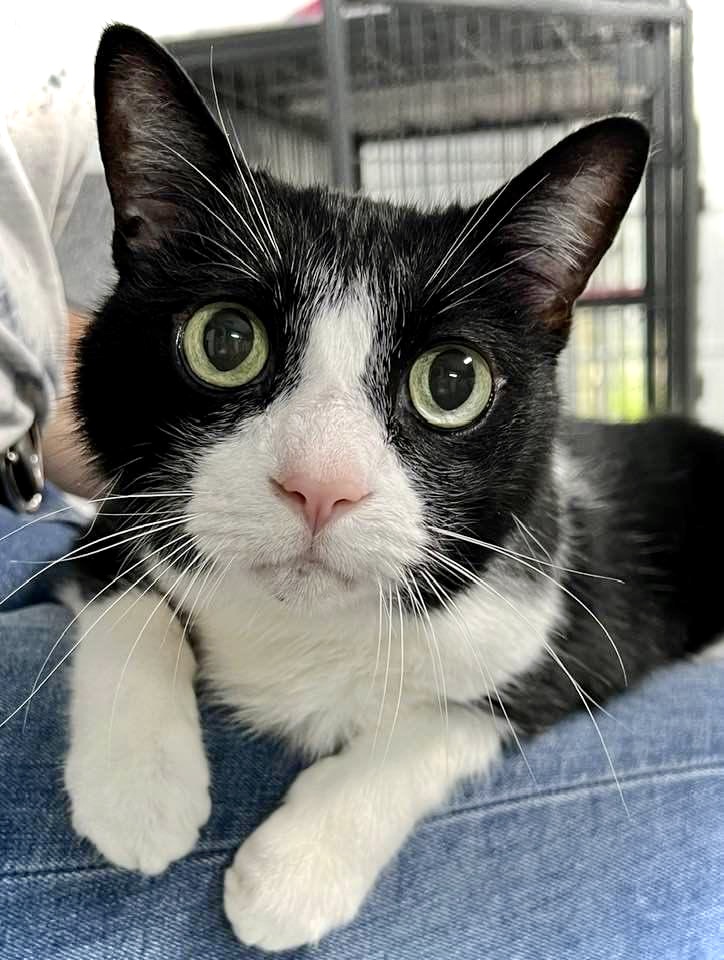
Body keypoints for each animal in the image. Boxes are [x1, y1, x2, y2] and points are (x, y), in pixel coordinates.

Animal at [63, 24, 724, 952]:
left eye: (453, 381)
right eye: (224, 340)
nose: (320, 485)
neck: (306, 628)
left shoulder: (567, 613)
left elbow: (456, 715)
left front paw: (295, 871)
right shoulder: (109, 513)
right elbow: (125, 589)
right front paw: (137, 790)